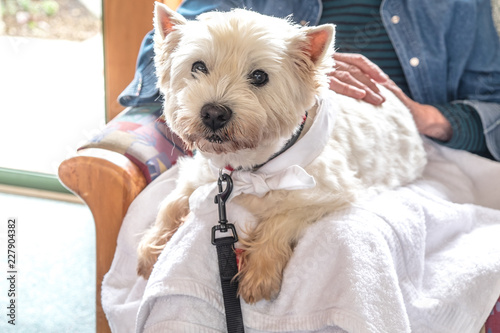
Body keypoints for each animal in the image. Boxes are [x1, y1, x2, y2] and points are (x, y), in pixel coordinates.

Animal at [136, 2, 426, 304]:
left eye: (259, 76)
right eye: (198, 66)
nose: (214, 113)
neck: (248, 168)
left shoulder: (331, 194)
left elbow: (281, 219)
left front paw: (259, 275)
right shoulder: (203, 172)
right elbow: (172, 202)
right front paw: (152, 246)